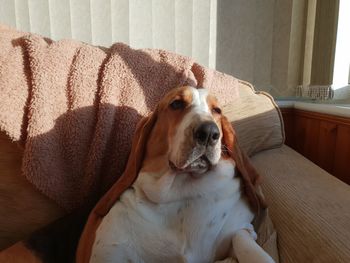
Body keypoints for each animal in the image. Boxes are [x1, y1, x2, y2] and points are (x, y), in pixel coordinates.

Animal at [84, 85, 274, 262]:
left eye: (217, 110)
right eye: (176, 104)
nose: (209, 132)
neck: (182, 192)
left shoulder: (240, 230)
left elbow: (248, 247)